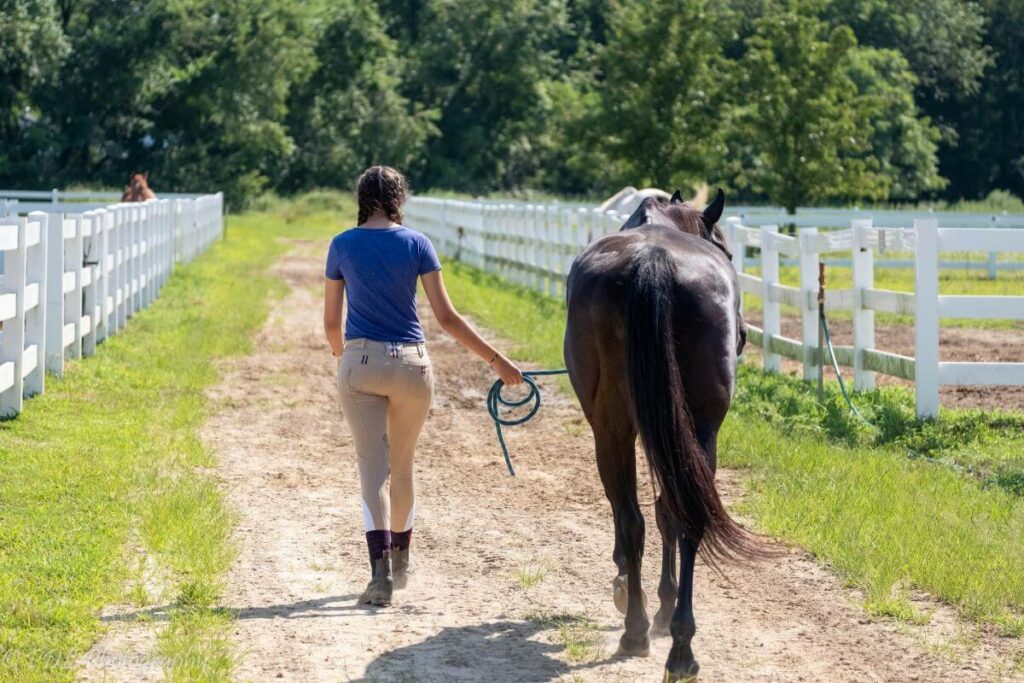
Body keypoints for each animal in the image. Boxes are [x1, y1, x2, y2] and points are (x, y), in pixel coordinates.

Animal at [565, 188, 757, 683]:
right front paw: (664, 604)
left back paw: (635, 629)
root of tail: (653, 261)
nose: (744, 334)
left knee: (633, 519)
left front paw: (630, 589)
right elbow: (668, 511)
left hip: (612, 427)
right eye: (729, 249)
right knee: (683, 515)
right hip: (699, 429)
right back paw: (681, 648)